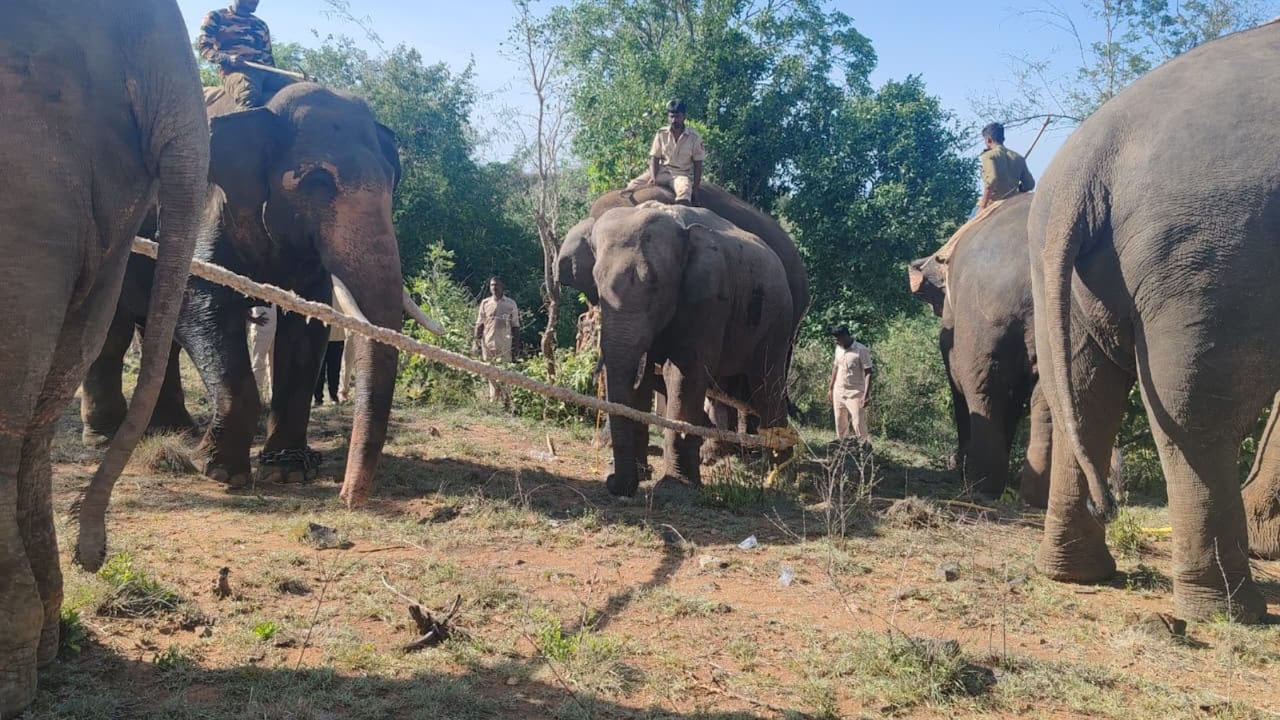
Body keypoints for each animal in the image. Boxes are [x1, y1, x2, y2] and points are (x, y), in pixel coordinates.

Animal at [76, 82, 407, 511]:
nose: (348, 500)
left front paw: (287, 472)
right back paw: (103, 437)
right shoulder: (205, 203)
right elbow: (199, 306)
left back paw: (174, 429)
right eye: (317, 182)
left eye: (392, 181)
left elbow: (305, 333)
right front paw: (219, 471)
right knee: (111, 334)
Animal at [556, 202, 795, 497]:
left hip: (778, 321)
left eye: (656, 287)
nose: (612, 482)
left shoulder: (709, 297)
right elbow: (644, 377)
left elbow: (683, 373)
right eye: (596, 285)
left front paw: (674, 487)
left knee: (766, 385)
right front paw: (642, 475)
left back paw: (779, 474)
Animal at [1028, 22, 1280, 621]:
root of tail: (1087, 167)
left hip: (1057, 267)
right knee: (1198, 414)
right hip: (1216, 257)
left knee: (1081, 394)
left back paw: (1075, 572)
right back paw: (1229, 609)